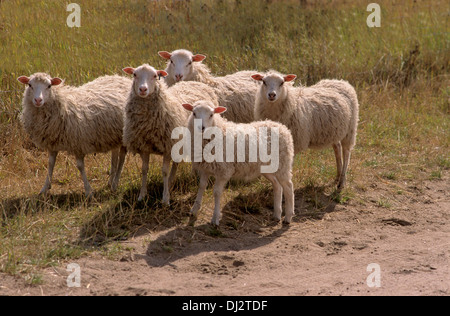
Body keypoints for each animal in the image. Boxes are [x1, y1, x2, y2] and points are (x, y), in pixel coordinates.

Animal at [122, 63, 219, 205]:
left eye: (155, 76)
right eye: (135, 74)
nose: (143, 89)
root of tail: (194, 82)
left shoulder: (168, 146)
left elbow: (165, 172)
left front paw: (165, 198)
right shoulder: (144, 146)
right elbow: (144, 170)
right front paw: (142, 195)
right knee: (176, 162)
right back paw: (172, 181)